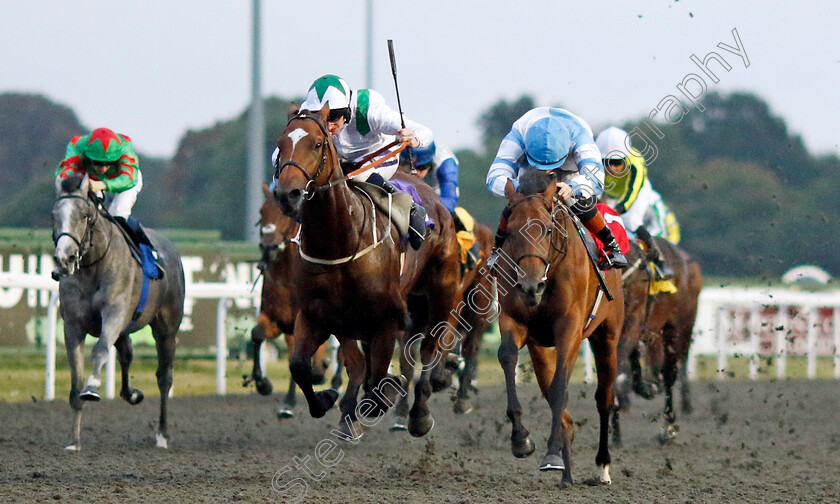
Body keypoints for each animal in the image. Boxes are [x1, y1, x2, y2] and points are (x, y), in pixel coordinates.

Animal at [52, 172, 185, 448]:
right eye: (53, 215)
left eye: (84, 215)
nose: (64, 259)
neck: (93, 265)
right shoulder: (72, 326)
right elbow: (75, 380)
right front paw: (74, 440)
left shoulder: (113, 313)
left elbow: (100, 349)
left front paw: (93, 387)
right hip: (126, 329)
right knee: (127, 355)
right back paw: (131, 394)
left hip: (166, 329)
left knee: (164, 377)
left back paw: (162, 435)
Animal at [244, 182, 342, 418]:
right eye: (261, 212)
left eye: (285, 214)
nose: (268, 248)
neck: (286, 278)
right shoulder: (276, 320)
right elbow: (257, 335)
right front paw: (263, 384)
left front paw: (320, 373)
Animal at [274, 107, 460, 438]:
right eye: (280, 144)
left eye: (318, 144)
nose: (287, 193)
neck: (339, 242)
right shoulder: (319, 315)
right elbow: (303, 366)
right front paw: (329, 400)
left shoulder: (387, 318)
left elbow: (379, 379)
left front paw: (385, 396)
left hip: (442, 289)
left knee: (429, 348)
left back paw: (419, 413)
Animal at [492, 171, 624, 486]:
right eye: (510, 232)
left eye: (548, 230)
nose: (531, 285)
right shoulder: (515, 321)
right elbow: (508, 357)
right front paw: (521, 440)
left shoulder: (570, 328)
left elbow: (561, 385)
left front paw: (552, 452)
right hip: (541, 349)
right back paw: (567, 472)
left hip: (607, 338)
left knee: (604, 398)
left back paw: (602, 466)